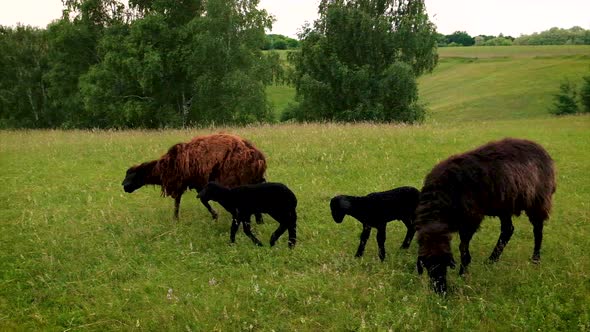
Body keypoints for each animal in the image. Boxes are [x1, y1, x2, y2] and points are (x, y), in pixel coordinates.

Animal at [122, 132, 268, 220]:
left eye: (131, 175)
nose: (124, 186)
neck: (163, 167)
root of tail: (259, 157)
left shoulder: (183, 182)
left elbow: (185, 201)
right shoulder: (196, 183)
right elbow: (184, 201)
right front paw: (176, 219)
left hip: (235, 179)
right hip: (252, 179)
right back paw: (258, 219)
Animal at [416, 137, 556, 294]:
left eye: (444, 264)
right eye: (427, 266)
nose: (440, 291)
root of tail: (540, 148)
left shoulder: (471, 219)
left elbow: (463, 249)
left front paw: (463, 274)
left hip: (537, 201)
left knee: (537, 230)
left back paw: (535, 259)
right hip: (504, 205)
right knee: (508, 230)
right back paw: (491, 260)